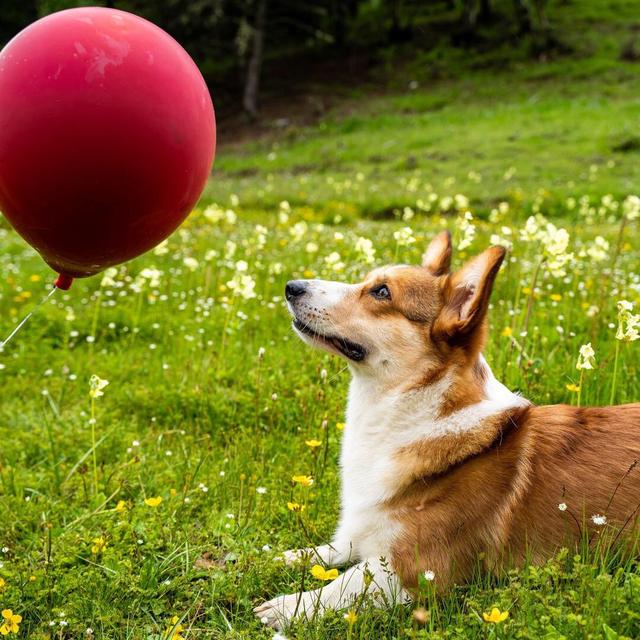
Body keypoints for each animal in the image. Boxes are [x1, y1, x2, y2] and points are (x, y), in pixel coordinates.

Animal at [255, 231, 640, 632]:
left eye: (381, 292)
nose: (291, 287)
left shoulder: (416, 569)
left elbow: (343, 584)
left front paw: (287, 606)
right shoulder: (361, 532)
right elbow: (326, 552)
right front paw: (279, 556)